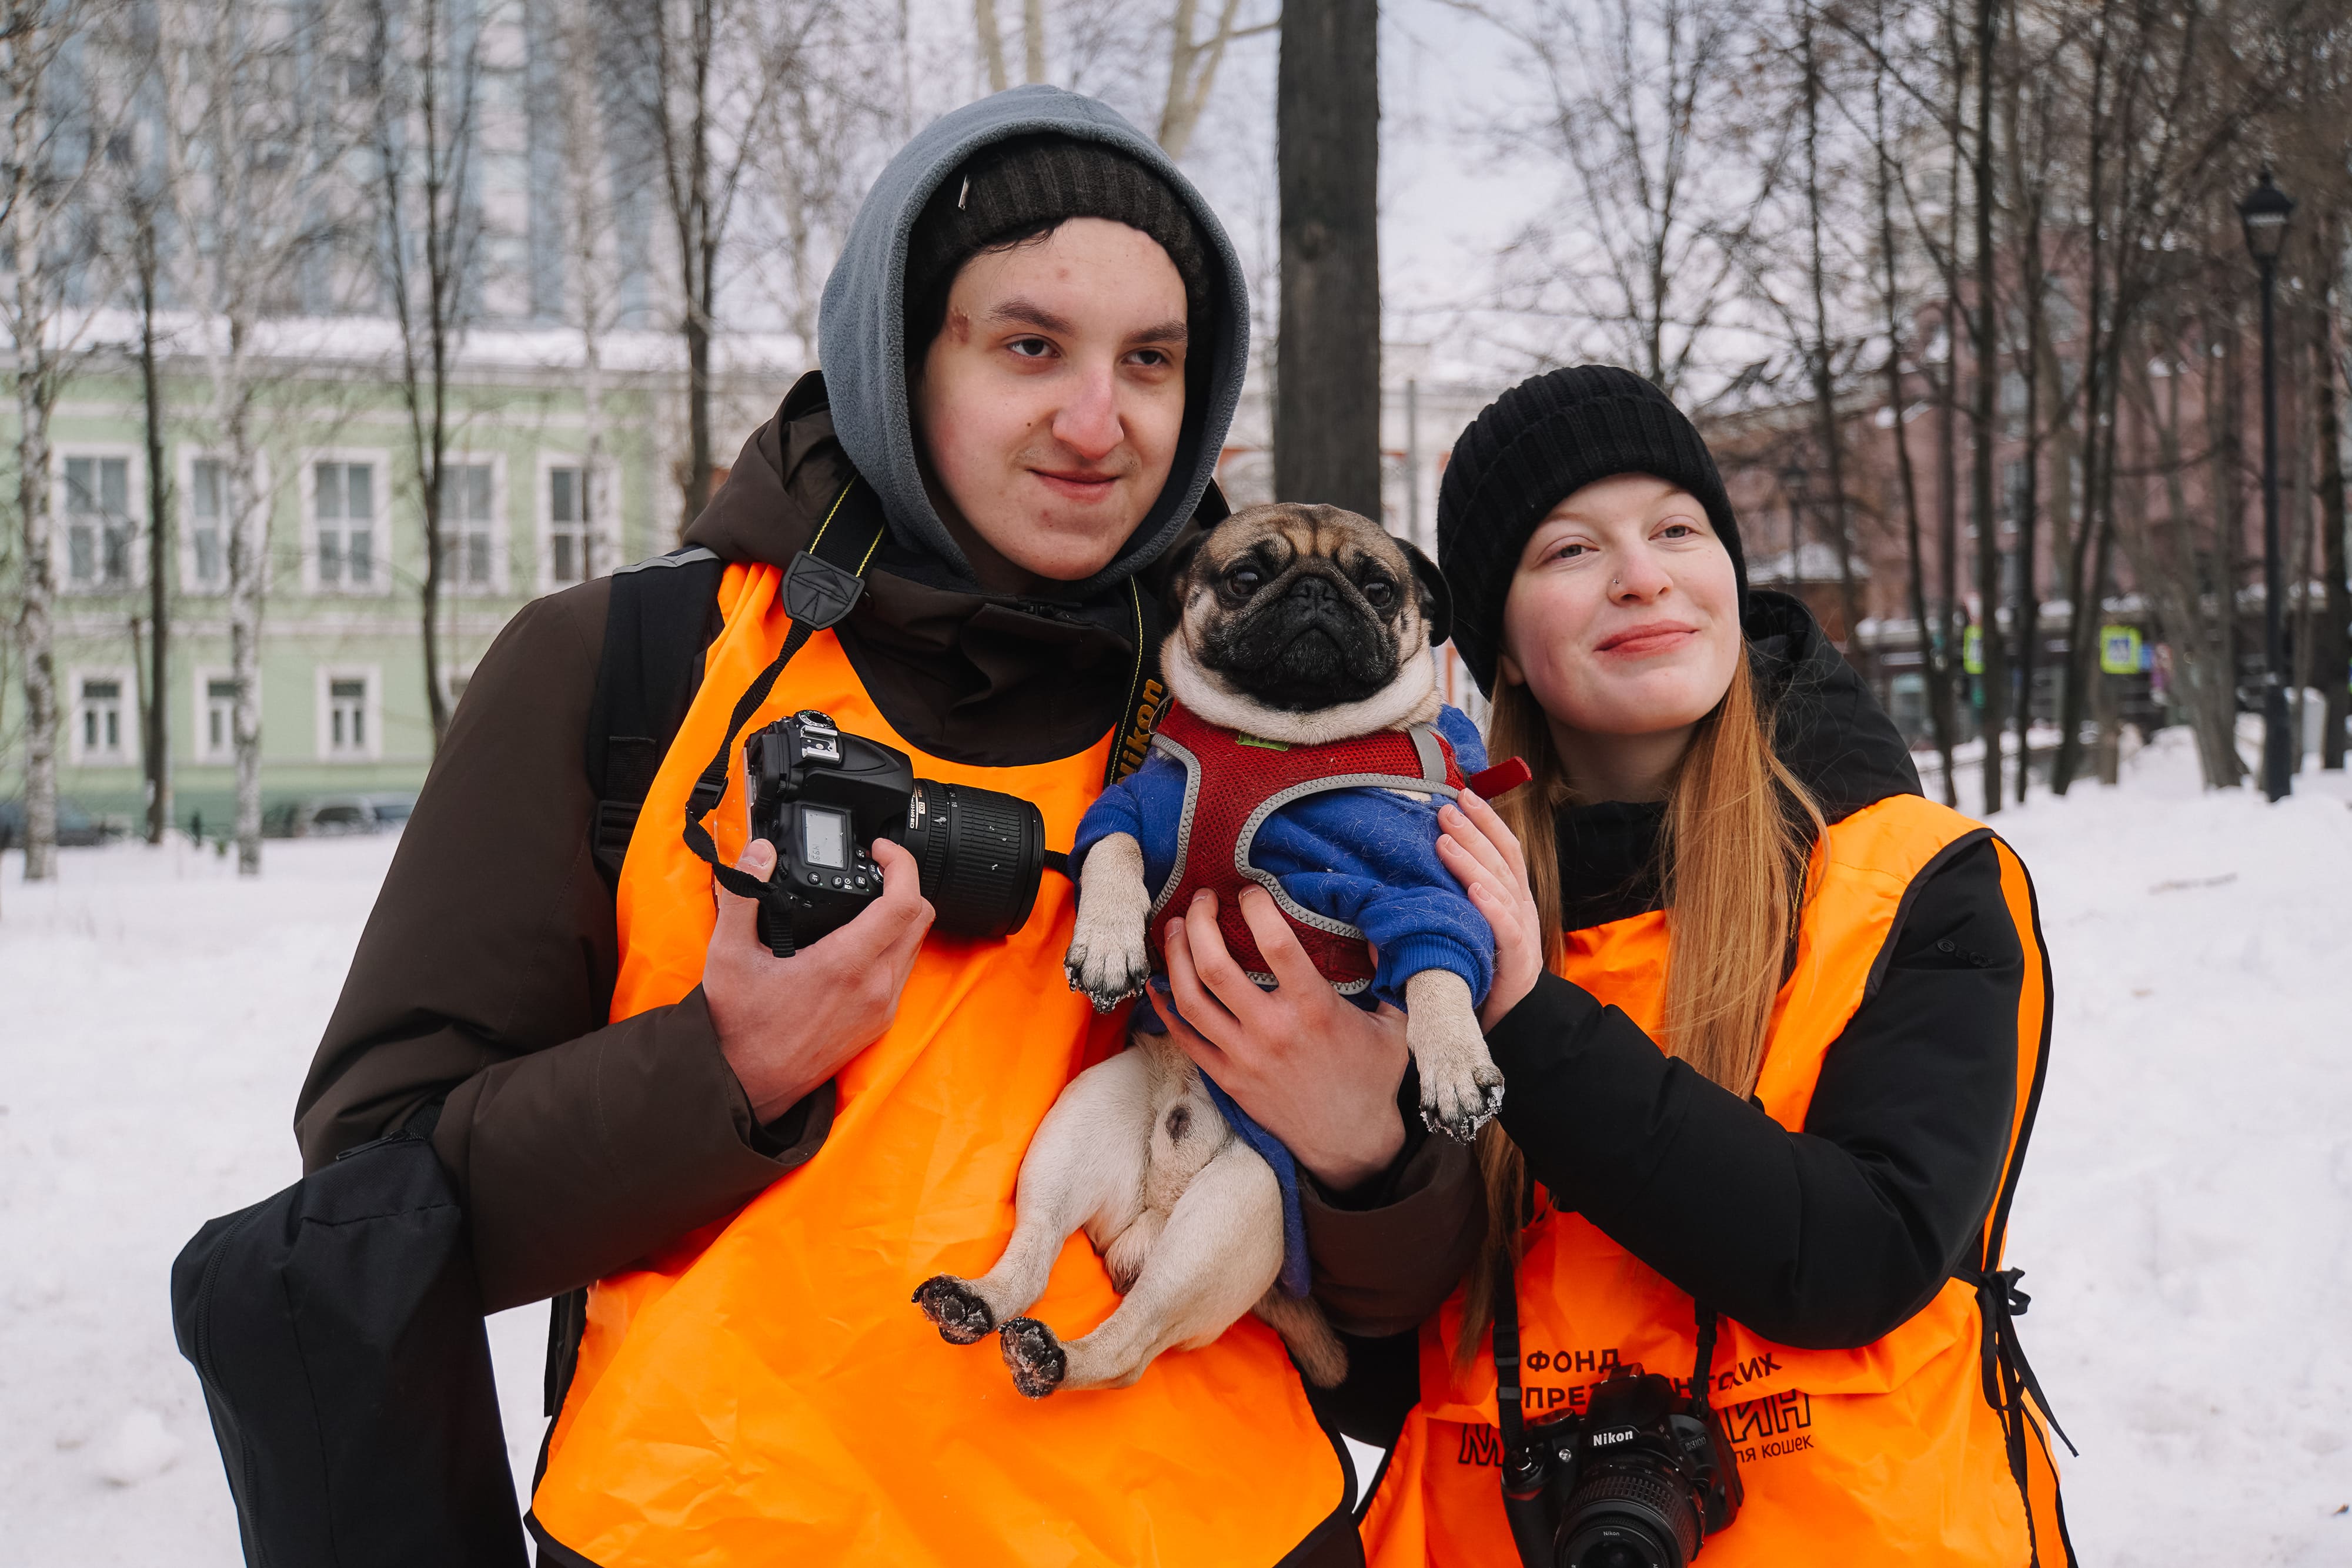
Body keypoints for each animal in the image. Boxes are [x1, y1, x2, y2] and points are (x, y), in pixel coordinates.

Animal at [908, 503, 1496, 1401]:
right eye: (1247, 576)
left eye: (1377, 586)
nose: (1317, 591)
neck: (1279, 743)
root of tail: (1152, 1208)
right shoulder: (1137, 809)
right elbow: (1111, 855)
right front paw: (1109, 944)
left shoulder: (1411, 879)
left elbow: (1436, 962)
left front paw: (1454, 1064)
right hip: (1078, 1129)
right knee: (1037, 1249)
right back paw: (981, 1302)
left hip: (1236, 1212)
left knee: (1131, 1345)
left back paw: (1055, 1353)